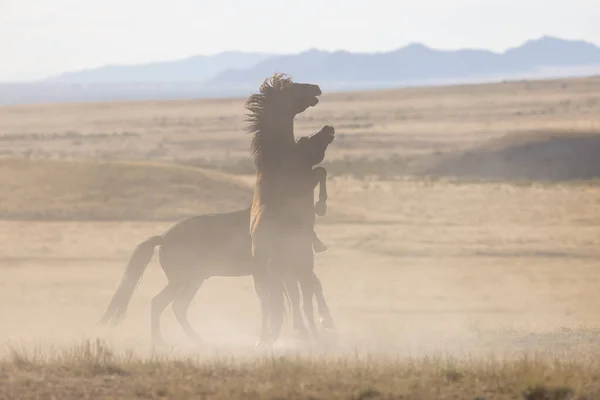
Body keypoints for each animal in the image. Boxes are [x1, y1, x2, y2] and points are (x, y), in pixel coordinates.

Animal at [98, 166, 332, 346]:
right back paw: (162, 342)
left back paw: (197, 341)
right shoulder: (281, 268)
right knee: (160, 304)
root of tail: (163, 238)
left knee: (177, 307)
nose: (320, 205)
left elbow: (295, 293)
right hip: (182, 281)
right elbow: (281, 299)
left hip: (193, 281)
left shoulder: (286, 268)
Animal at [246, 72, 336, 346]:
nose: (316, 87)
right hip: (290, 265)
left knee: (277, 300)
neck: (278, 159)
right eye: (292, 88)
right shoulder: (303, 183)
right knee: (291, 297)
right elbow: (320, 172)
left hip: (281, 270)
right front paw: (321, 206)